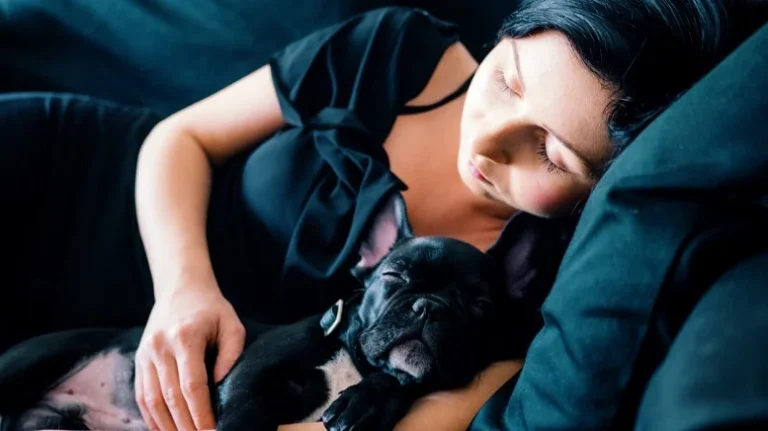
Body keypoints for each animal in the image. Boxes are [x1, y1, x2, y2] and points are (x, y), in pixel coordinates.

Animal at [0, 193, 568, 431]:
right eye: (394, 278)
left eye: (480, 305)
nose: (430, 307)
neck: (349, 361)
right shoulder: (246, 388)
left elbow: (400, 380)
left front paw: (368, 402)